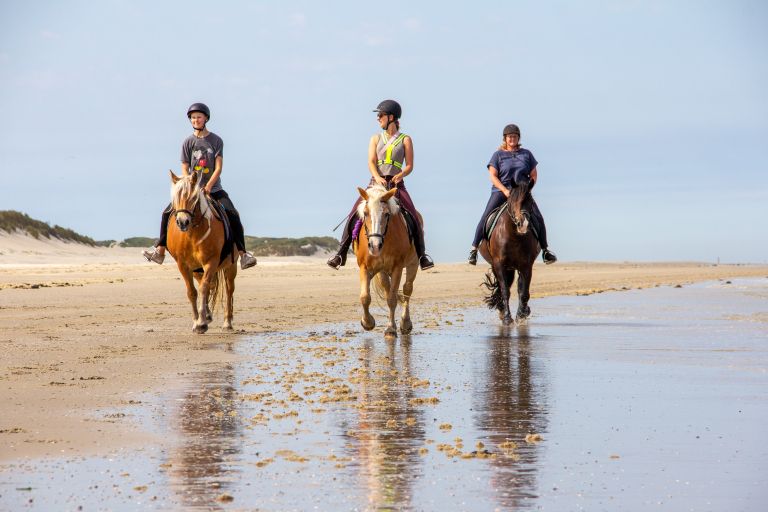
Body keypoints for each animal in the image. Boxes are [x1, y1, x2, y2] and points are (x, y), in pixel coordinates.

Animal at [167, 170, 237, 334]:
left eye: (193, 197)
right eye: (175, 198)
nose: (182, 222)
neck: (192, 233)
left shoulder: (211, 262)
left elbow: (204, 288)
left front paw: (201, 323)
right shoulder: (183, 265)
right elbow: (192, 292)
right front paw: (197, 320)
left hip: (231, 266)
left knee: (229, 289)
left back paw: (227, 323)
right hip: (197, 269)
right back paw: (208, 315)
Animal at [356, 183, 420, 336]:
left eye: (386, 214)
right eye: (365, 213)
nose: (375, 246)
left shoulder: (398, 267)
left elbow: (392, 299)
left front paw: (390, 328)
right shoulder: (364, 267)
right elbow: (365, 297)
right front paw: (367, 322)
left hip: (413, 264)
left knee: (407, 289)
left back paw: (405, 323)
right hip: (382, 272)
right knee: (388, 288)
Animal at [480, 176, 540, 326]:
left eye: (531, 202)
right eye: (513, 201)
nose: (523, 225)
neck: (514, 236)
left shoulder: (526, 266)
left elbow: (523, 291)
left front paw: (521, 315)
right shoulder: (499, 264)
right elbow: (505, 291)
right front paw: (507, 318)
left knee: (519, 287)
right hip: (498, 266)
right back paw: (502, 310)